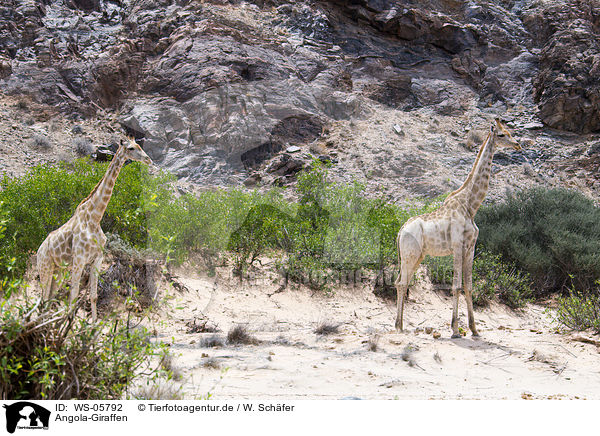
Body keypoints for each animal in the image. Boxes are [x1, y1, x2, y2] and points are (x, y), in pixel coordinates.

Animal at [36, 138, 152, 322]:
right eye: (131, 148)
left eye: (140, 146)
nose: (148, 160)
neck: (95, 218)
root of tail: (38, 251)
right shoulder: (79, 259)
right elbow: (74, 294)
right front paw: (70, 325)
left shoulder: (97, 259)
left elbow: (93, 296)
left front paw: (92, 324)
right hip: (45, 267)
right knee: (44, 296)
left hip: (58, 270)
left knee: (49, 297)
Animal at [394, 118, 520, 338]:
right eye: (502, 134)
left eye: (510, 132)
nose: (518, 145)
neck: (471, 206)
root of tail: (401, 231)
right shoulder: (457, 246)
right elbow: (456, 286)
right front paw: (455, 330)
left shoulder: (471, 248)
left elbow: (469, 287)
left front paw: (474, 329)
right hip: (410, 254)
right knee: (401, 283)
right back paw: (400, 327)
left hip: (417, 256)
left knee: (401, 281)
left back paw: (398, 325)